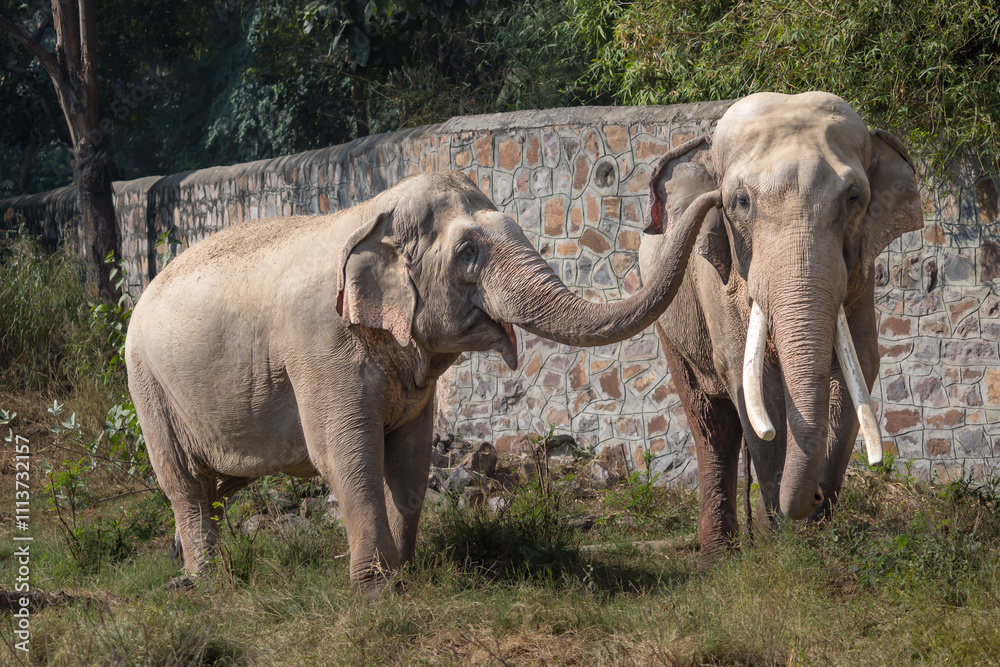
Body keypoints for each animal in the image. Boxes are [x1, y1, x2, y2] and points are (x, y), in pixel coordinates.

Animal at [125, 170, 717, 596]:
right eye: (467, 253)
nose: (713, 198)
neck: (373, 215)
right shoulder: (319, 349)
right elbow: (345, 457)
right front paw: (375, 591)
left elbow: (409, 460)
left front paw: (402, 571)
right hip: (147, 387)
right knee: (183, 482)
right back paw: (201, 583)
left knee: (217, 485)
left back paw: (185, 558)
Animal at [638, 91, 923, 567]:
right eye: (739, 202)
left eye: (854, 197)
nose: (818, 498)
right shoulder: (719, 277)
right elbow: (752, 379)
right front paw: (781, 542)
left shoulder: (861, 273)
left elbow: (858, 368)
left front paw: (814, 533)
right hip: (670, 319)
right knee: (713, 424)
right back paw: (719, 558)